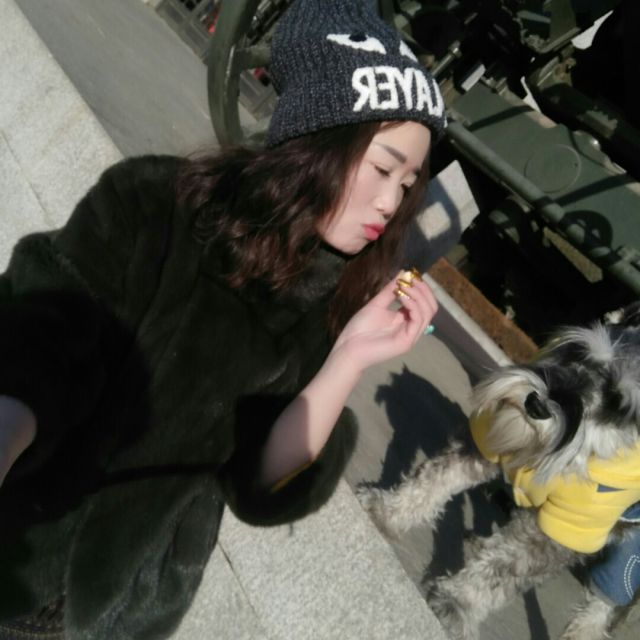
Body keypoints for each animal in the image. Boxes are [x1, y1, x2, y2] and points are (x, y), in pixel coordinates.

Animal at [358, 304, 640, 640]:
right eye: (580, 354)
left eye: (617, 403)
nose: (537, 405)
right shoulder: (486, 447)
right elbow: (433, 481)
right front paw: (385, 512)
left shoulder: (568, 528)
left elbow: (505, 569)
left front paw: (457, 604)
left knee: (609, 597)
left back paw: (584, 631)